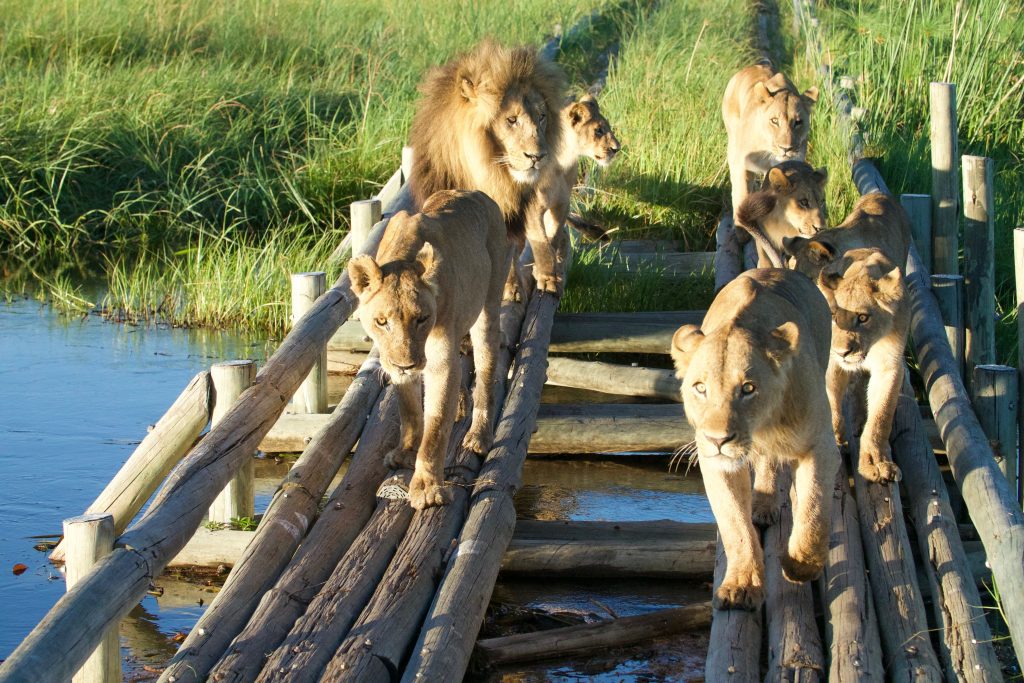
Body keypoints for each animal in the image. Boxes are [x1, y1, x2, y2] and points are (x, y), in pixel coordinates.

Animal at [407, 38, 569, 294]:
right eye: (511, 120)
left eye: (542, 116)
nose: (538, 156)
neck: (493, 175)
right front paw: (510, 286)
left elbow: (531, 233)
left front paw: (542, 274)